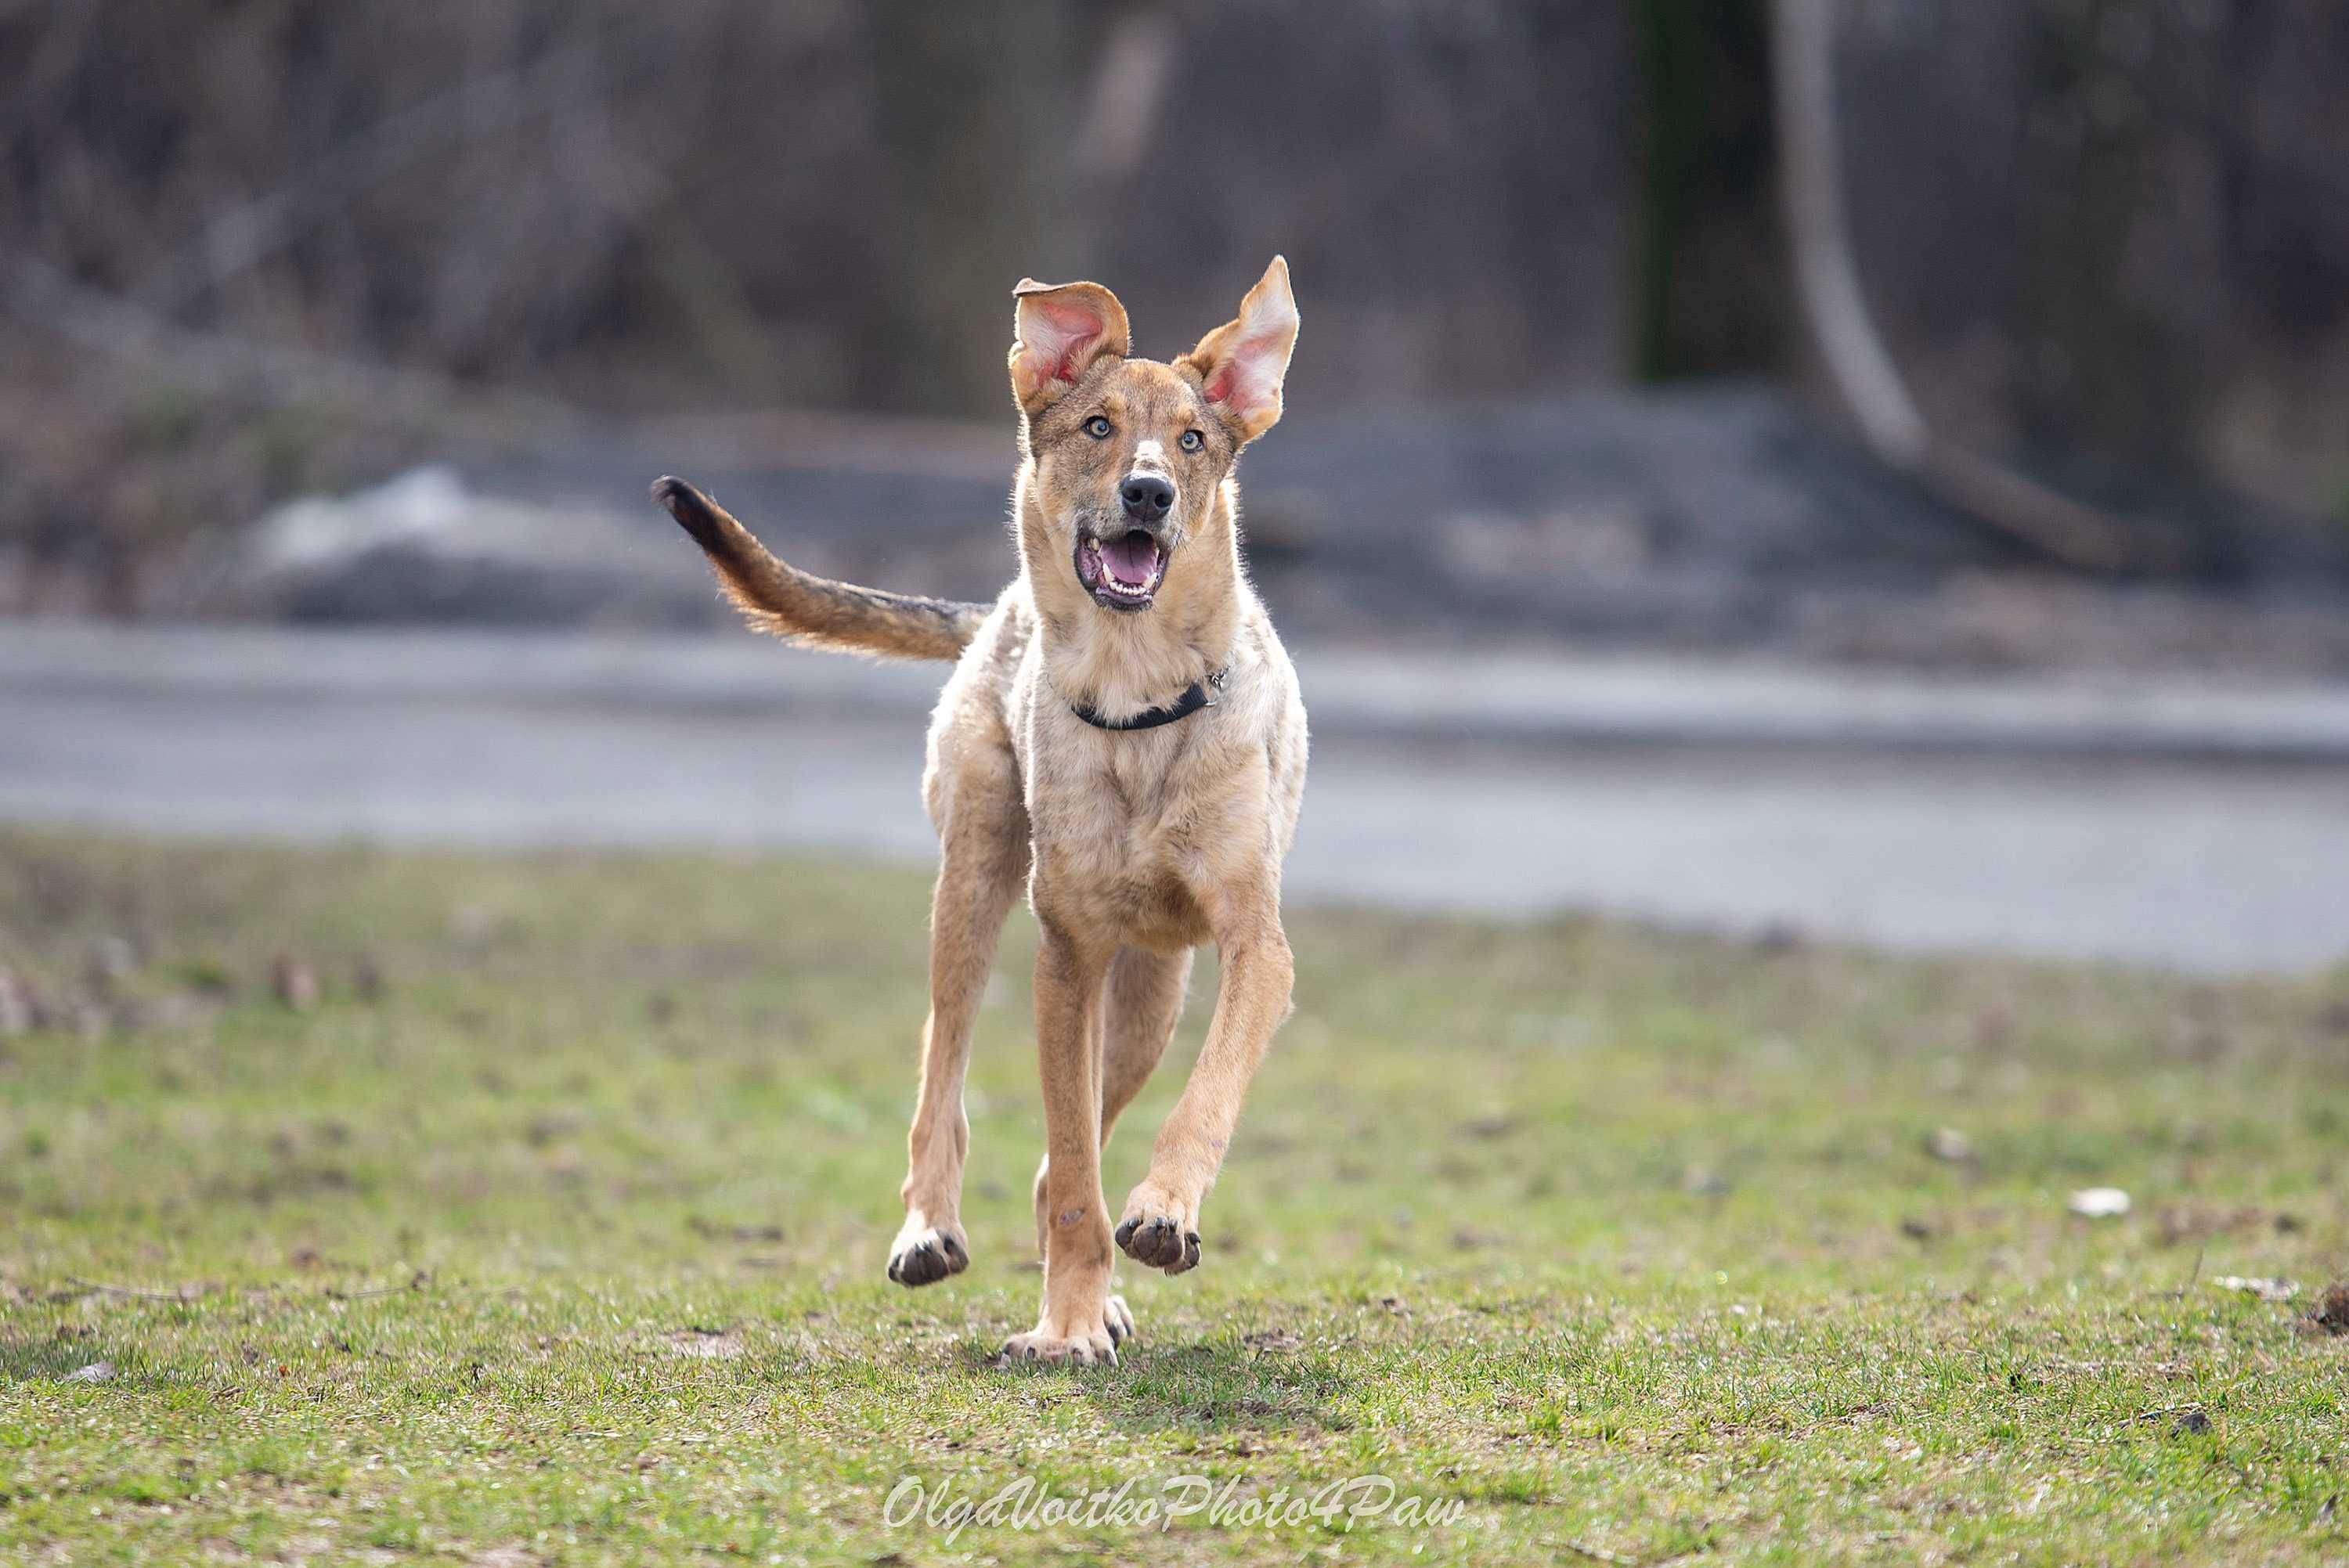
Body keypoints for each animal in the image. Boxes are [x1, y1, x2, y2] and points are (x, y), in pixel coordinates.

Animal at [653, 257, 1315, 1361]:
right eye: (1097, 426)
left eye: (1193, 440)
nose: (1148, 492)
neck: (1136, 704)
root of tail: (992, 613)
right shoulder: (1065, 953)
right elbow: (1070, 1173)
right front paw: (1066, 1329)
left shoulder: (1254, 946)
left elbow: (1202, 1100)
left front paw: (1163, 1217)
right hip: (972, 881)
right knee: (951, 1077)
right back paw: (932, 1228)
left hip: (1156, 992)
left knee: (1073, 1141)